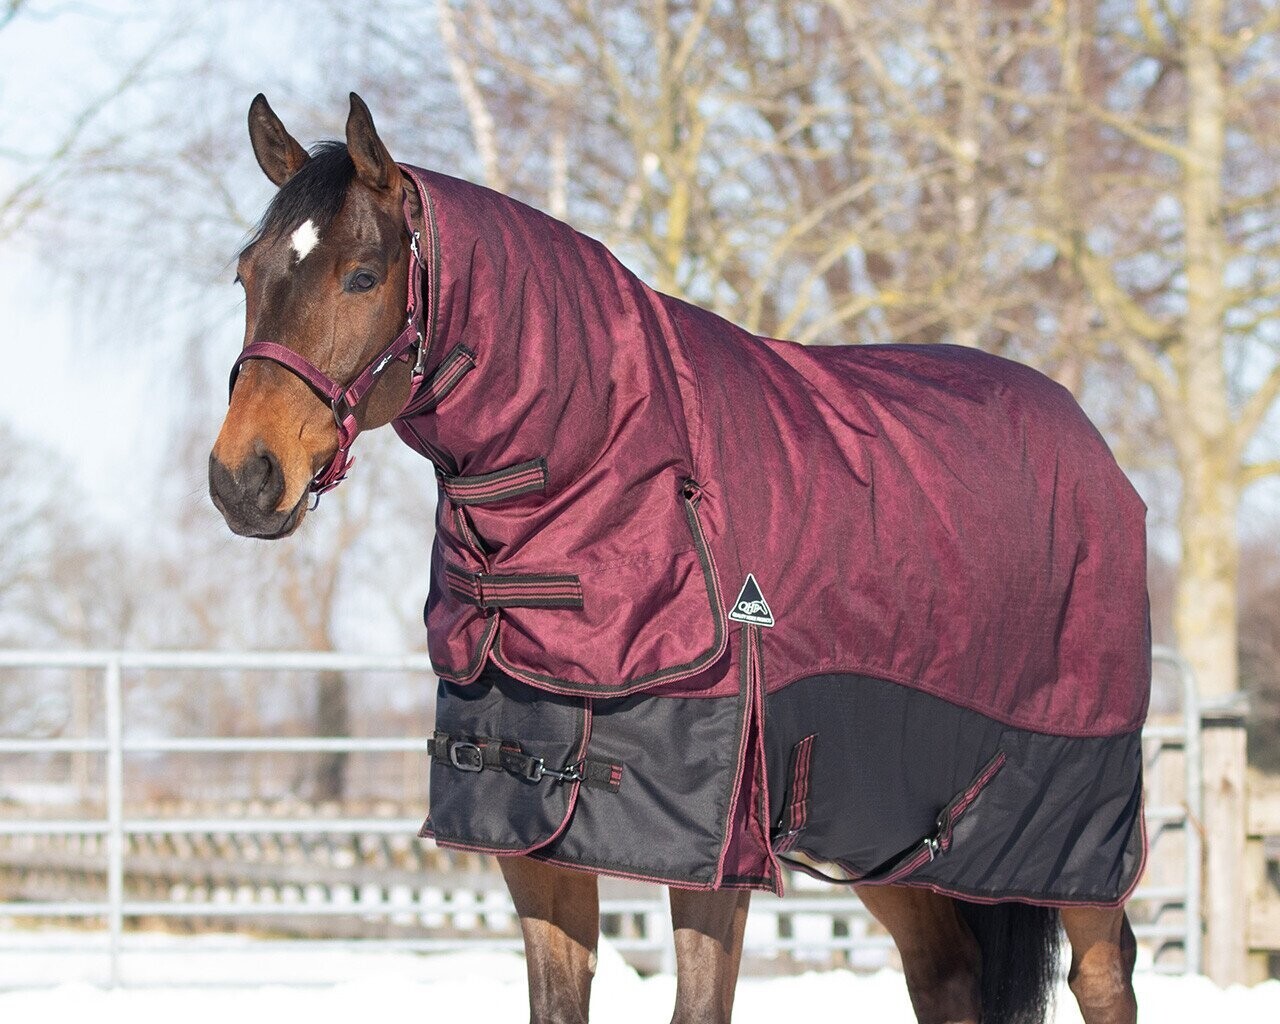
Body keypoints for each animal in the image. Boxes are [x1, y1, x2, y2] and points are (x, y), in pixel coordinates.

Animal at [210, 93, 1145, 1024]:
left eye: (363, 276)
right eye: (247, 274)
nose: (242, 479)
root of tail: (1098, 451)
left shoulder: (713, 854)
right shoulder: (533, 839)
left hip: (1072, 843)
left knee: (1102, 976)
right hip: (893, 834)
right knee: (946, 972)